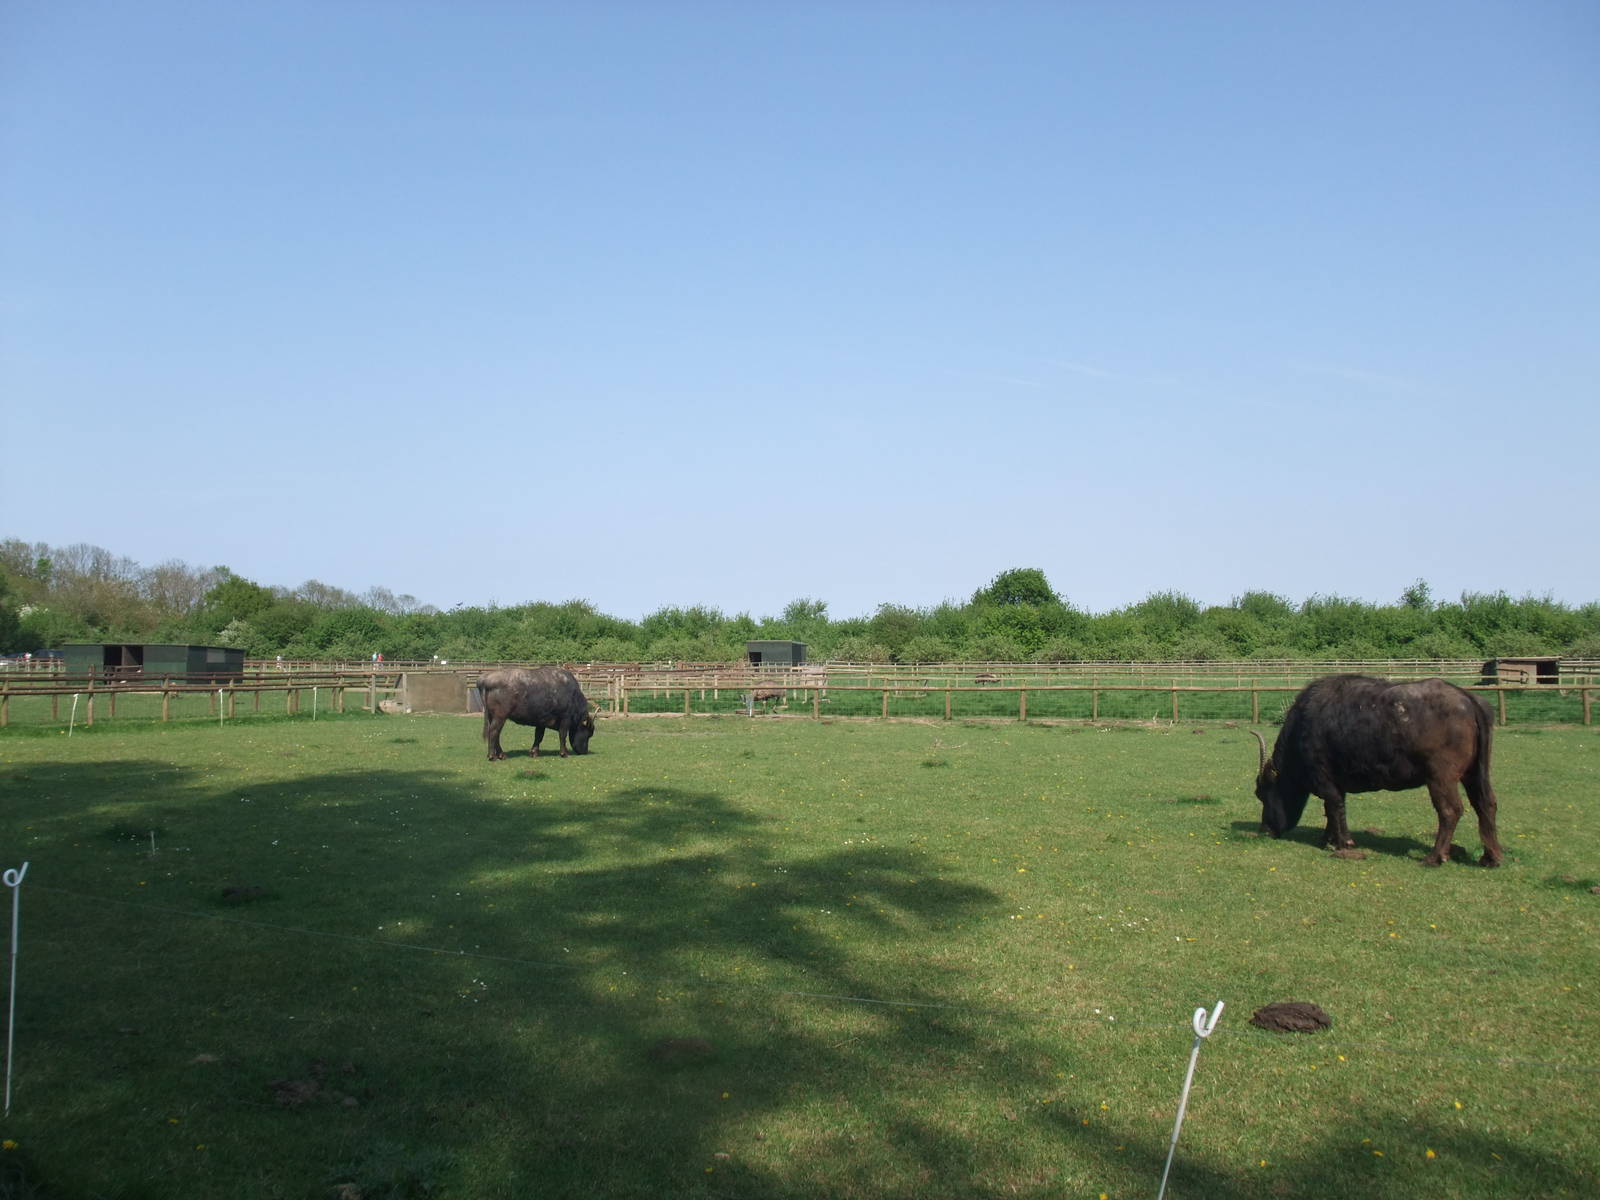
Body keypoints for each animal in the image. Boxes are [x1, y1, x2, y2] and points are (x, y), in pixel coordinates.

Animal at [1250, 674, 1504, 867]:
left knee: (1450, 811)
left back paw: (1434, 857)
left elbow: (1334, 807)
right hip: (1475, 774)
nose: (1265, 830)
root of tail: (1467, 698)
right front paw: (1328, 839)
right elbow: (1333, 811)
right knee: (1486, 804)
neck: (1303, 727)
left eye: (1261, 794)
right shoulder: (1336, 784)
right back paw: (1490, 857)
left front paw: (1343, 842)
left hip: (1441, 778)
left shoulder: (1325, 781)